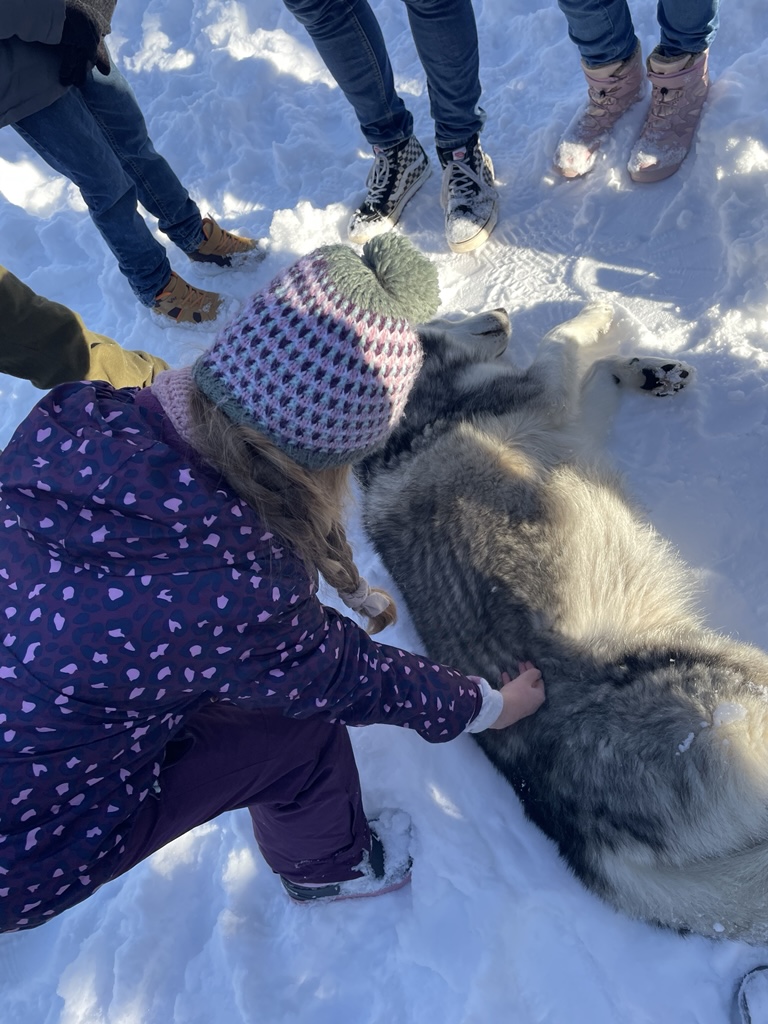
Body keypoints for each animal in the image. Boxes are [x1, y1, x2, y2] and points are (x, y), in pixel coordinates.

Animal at [356, 303, 768, 943]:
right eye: (451, 313)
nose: (501, 309)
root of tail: (577, 834)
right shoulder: (546, 390)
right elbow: (562, 341)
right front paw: (599, 312)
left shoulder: (571, 421)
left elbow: (595, 372)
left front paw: (644, 370)